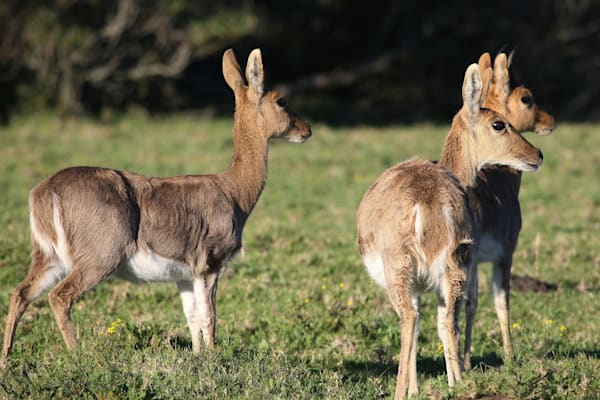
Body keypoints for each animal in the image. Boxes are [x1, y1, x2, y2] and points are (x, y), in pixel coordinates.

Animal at [3, 47, 314, 360]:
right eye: (282, 100)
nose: (307, 129)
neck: (236, 194)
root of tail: (43, 194)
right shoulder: (211, 259)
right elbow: (209, 316)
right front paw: (214, 356)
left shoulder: (185, 272)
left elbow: (191, 318)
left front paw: (197, 355)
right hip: (101, 251)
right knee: (59, 296)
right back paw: (78, 355)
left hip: (47, 253)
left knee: (20, 292)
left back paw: (7, 356)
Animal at [356, 64, 544, 398]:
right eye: (499, 123)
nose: (537, 154)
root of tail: (425, 204)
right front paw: (425, 386)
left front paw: (415, 388)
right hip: (451, 263)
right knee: (440, 320)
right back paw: (454, 382)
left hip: (403, 267)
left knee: (414, 319)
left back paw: (408, 389)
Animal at [462, 53, 556, 368]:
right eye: (526, 97)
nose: (550, 121)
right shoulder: (505, 255)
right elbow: (500, 303)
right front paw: (510, 356)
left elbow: (473, 304)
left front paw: (467, 359)